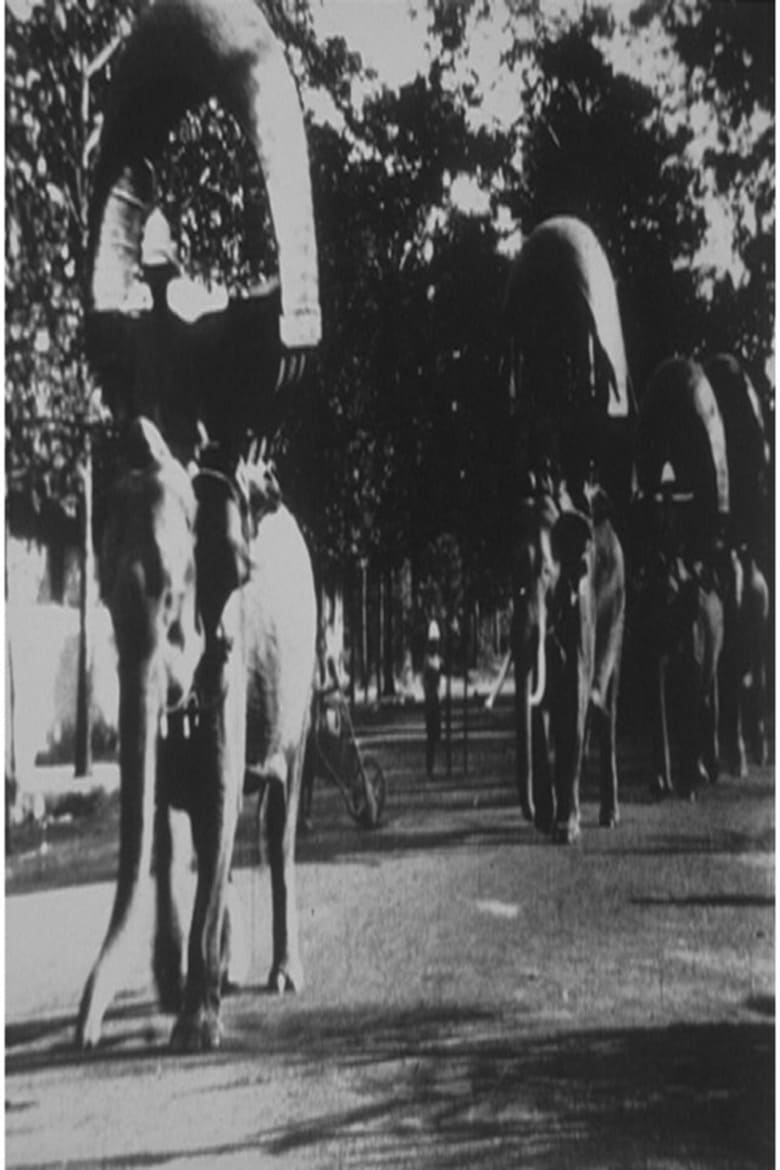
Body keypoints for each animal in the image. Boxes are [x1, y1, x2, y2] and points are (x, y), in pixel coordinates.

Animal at [73, 418, 318, 1053]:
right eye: (106, 603)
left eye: (171, 602)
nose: (86, 1035)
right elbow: (164, 822)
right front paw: (169, 990)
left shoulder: (228, 658)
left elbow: (218, 800)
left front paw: (195, 1032)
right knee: (214, 839)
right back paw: (225, 976)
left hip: (302, 694)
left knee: (277, 821)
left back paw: (283, 977)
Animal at [512, 475, 626, 842]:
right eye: (511, 574)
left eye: (547, 572)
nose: (529, 813)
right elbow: (544, 705)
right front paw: (547, 821)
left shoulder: (582, 601)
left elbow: (575, 688)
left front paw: (565, 830)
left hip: (617, 618)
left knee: (605, 708)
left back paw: (609, 817)